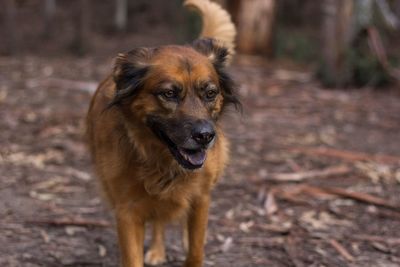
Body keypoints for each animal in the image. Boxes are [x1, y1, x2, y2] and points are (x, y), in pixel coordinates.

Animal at [86, 1, 239, 266]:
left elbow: (195, 250)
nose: (205, 136)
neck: (161, 161)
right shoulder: (127, 211)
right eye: (169, 94)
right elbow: (133, 256)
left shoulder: (201, 199)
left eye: (210, 93)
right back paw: (157, 250)